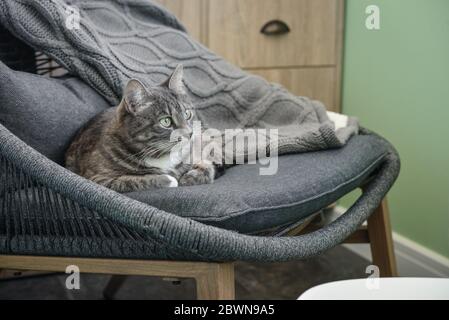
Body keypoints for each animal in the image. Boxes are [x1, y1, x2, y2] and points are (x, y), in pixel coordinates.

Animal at [64, 63, 216, 191]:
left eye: (187, 114)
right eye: (166, 121)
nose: (190, 133)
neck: (162, 156)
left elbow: (207, 166)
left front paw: (189, 177)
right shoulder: (97, 178)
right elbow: (130, 181)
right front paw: (168, 179)